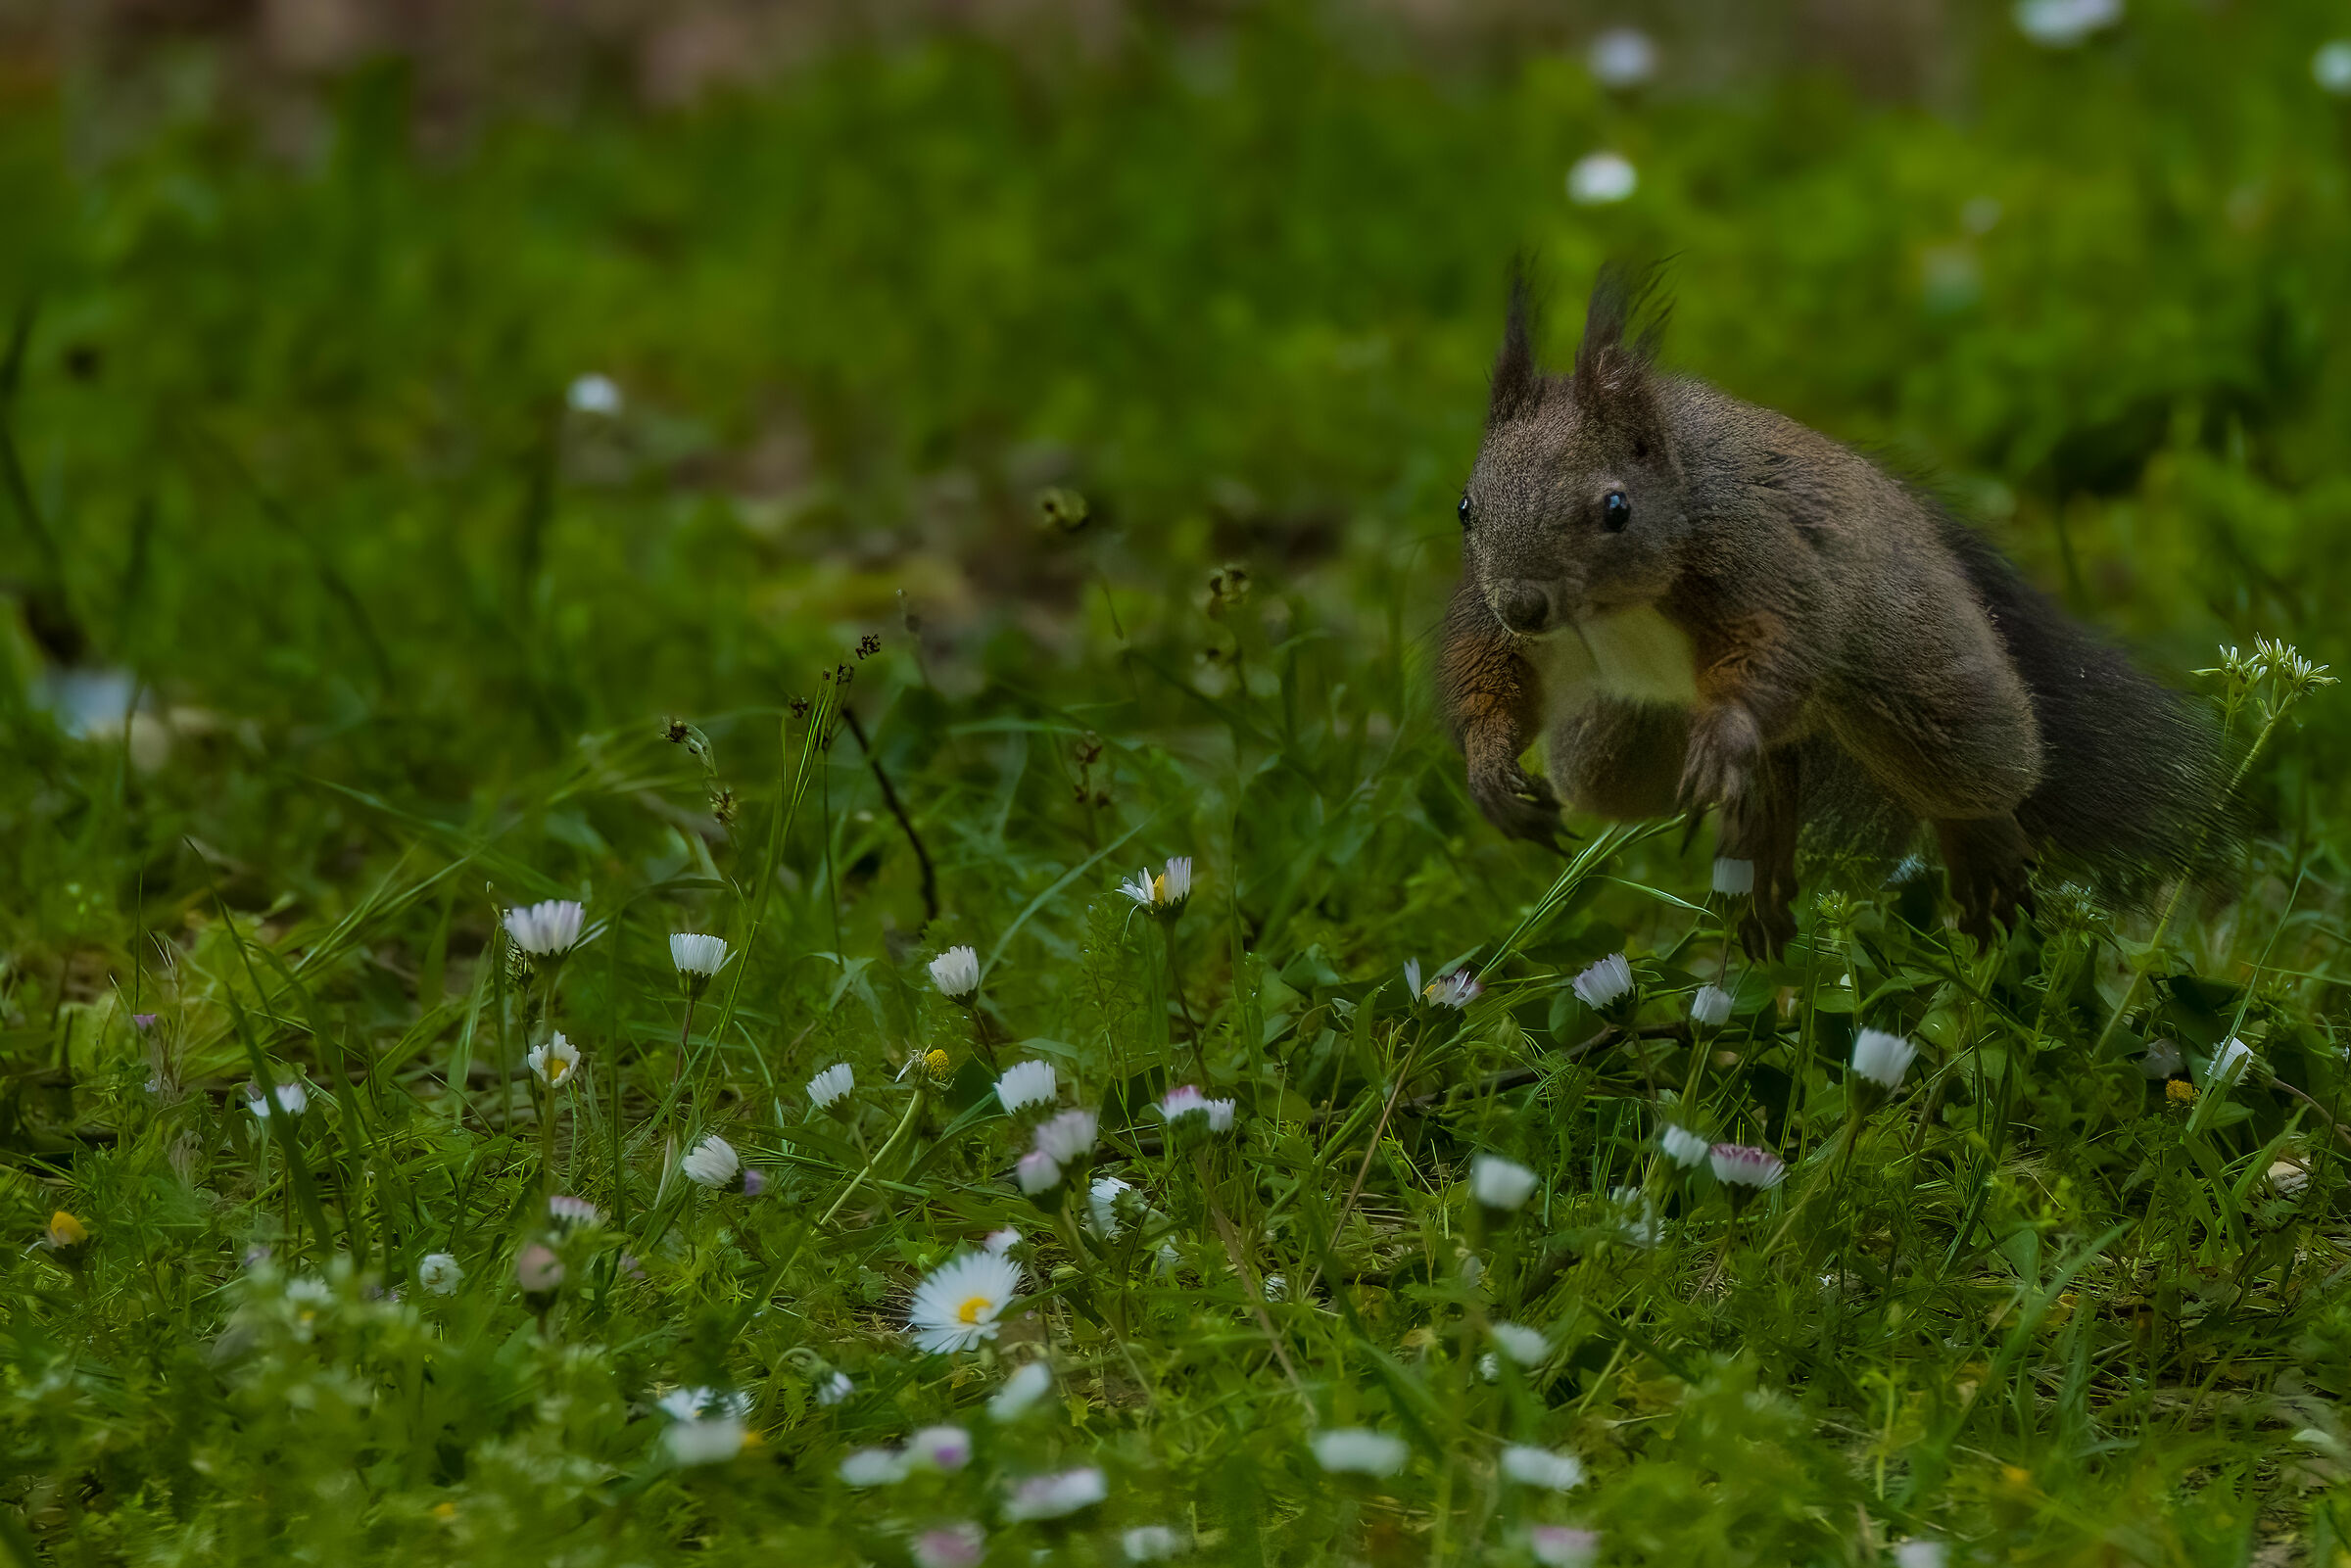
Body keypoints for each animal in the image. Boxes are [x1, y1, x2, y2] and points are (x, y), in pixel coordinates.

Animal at [1439, 267, 2232, 953]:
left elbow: (1776, 641)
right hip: (1623, 738)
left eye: (1615, 509)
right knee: (1744, 778)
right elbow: (1494, 674)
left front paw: (1723, 734)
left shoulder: (1761, 557)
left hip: (1920, 681)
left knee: (1971, 774)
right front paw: (1489, 768)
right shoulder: (1499, 627)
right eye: (1466, 507)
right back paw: (1757, 871)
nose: (1524, 605)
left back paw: (1984, 855)